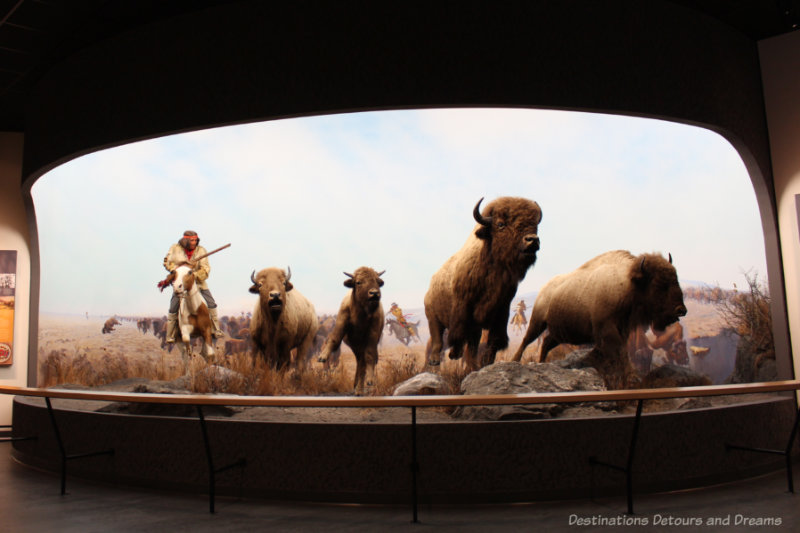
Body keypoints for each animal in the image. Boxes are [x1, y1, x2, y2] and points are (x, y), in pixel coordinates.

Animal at [418, 195, 544, 370]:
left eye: (535, 224)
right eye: (500, 224)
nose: (532, 240)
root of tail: (431, 285)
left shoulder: (501, 311)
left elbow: (493, 341)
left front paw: (485, 363)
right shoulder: (466, 310)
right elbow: (467, 340)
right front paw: (468, 363)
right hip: (433, 317)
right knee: (437, 338)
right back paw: (436, 360)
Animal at [512, 249, 688, 390]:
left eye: (676, 279)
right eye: (659, 284)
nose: (681, 310)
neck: (628, 283)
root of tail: (544, 288)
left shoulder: (622, 330)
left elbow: (620, 352)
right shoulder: (607, 329)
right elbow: (621, 352)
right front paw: (631, 377)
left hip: (560, 333)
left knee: (547, 341)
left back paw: (542, 363)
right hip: (538, 322)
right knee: (527, 339)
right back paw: (516, 360)